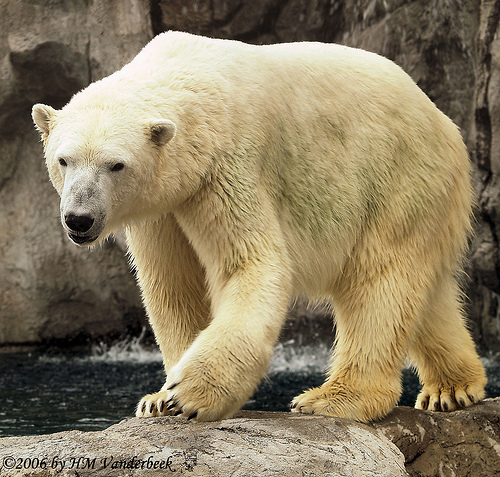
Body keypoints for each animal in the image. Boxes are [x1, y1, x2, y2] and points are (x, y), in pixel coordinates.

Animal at [32, 31, 484, 422]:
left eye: (116, 164)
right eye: (64, 160)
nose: (79, 219)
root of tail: (443, 121)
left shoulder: (226, 165)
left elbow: (250, 263)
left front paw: (189, 394)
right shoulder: (163, 206)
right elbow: (173, 284)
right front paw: (158, 399)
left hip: (398, 177)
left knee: (380, 281)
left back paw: (331, 398)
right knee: (423, 290)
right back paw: (453, 388)